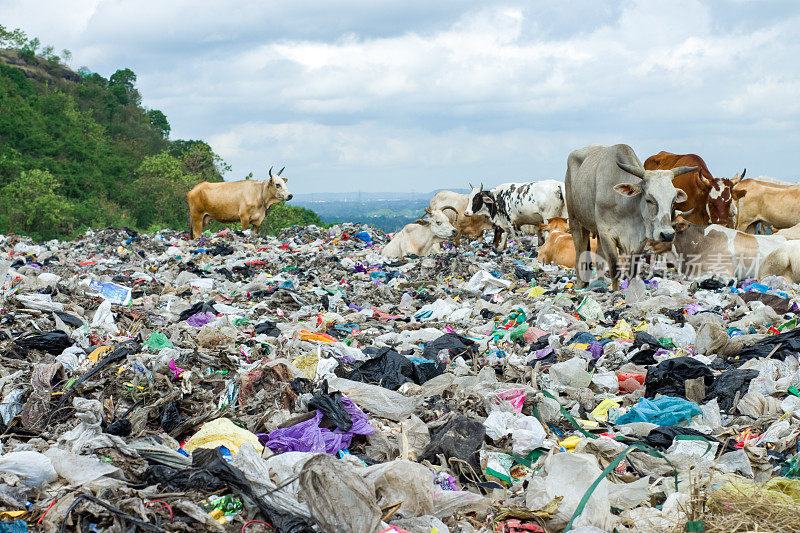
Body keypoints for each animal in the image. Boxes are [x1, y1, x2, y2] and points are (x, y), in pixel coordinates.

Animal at [564, 143, 692, 288]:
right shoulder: (606, 233)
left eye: (673, 200)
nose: (667, 235)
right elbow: (614, 267)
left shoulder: (639, 239)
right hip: (576, 223)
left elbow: (632, 270)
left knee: (599, 258)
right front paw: (617, 291)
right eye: (649, 199)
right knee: (580, 258)